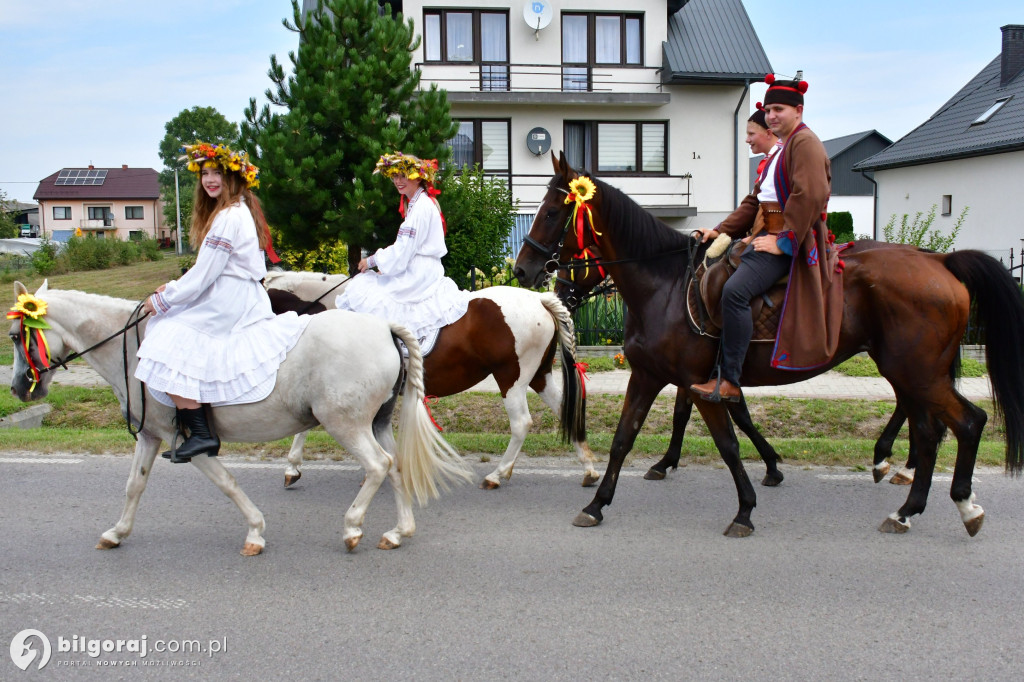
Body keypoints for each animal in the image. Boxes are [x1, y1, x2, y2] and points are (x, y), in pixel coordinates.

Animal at [8, 280, 473, 552]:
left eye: (15, 335)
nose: (17, 388)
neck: (135, 348)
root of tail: (383, 326)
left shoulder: (191, 445)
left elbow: (227, 484)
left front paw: (254, 531)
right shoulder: (151, 436)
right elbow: (134, 485)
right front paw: (116, 532)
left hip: (346, 424)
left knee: (377, 466)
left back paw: (352, 527)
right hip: (373, 423)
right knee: (395, 467)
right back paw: (398, 531)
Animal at [262, 270, 598, 489]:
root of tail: (540, 300)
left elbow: (307, 427)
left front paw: (293, 466)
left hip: (511, 379)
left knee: (521, 424)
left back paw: (497, 474)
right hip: (539, 376)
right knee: (564, 410)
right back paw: (589, 468)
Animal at [520, 153, 1024, 536]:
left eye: (552, 212)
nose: (525, 270)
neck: (665, 286)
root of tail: (940, 261)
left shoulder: (699, 381)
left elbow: (726, 441)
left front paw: (745, 505)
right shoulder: (651, 376)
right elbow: (625, 438)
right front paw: (599, 504)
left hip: (916, 371)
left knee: (968, 422)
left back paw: (957, 503)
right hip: (909, 370)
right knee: (928, 428)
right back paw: (905, 502)